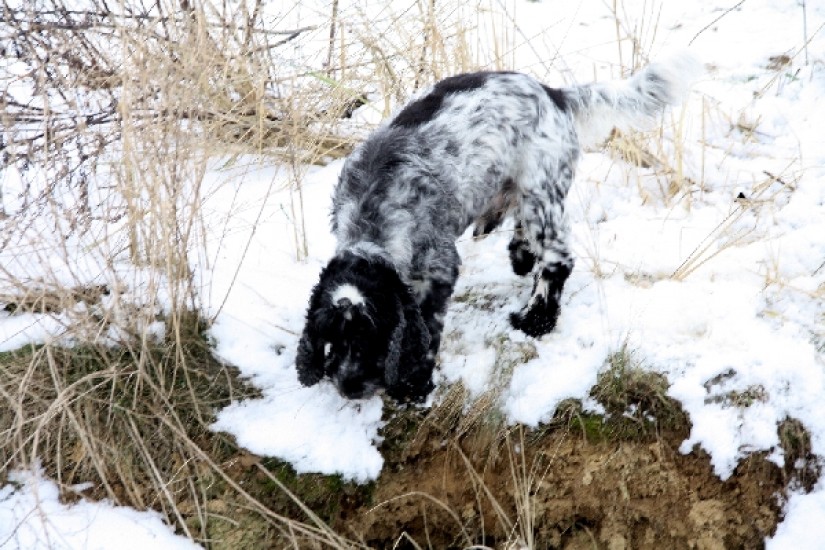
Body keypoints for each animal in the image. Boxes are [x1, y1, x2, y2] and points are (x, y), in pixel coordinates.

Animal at [296, 54, 700, 402]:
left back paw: (535, 320)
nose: (347, 386)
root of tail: (552, 93)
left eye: (370, 337)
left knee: (558, 259)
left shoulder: (439, 267)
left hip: (541, 192)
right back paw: (521, 256)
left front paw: (414, 385)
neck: (372, 220)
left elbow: (427, 328)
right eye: (331, 337)